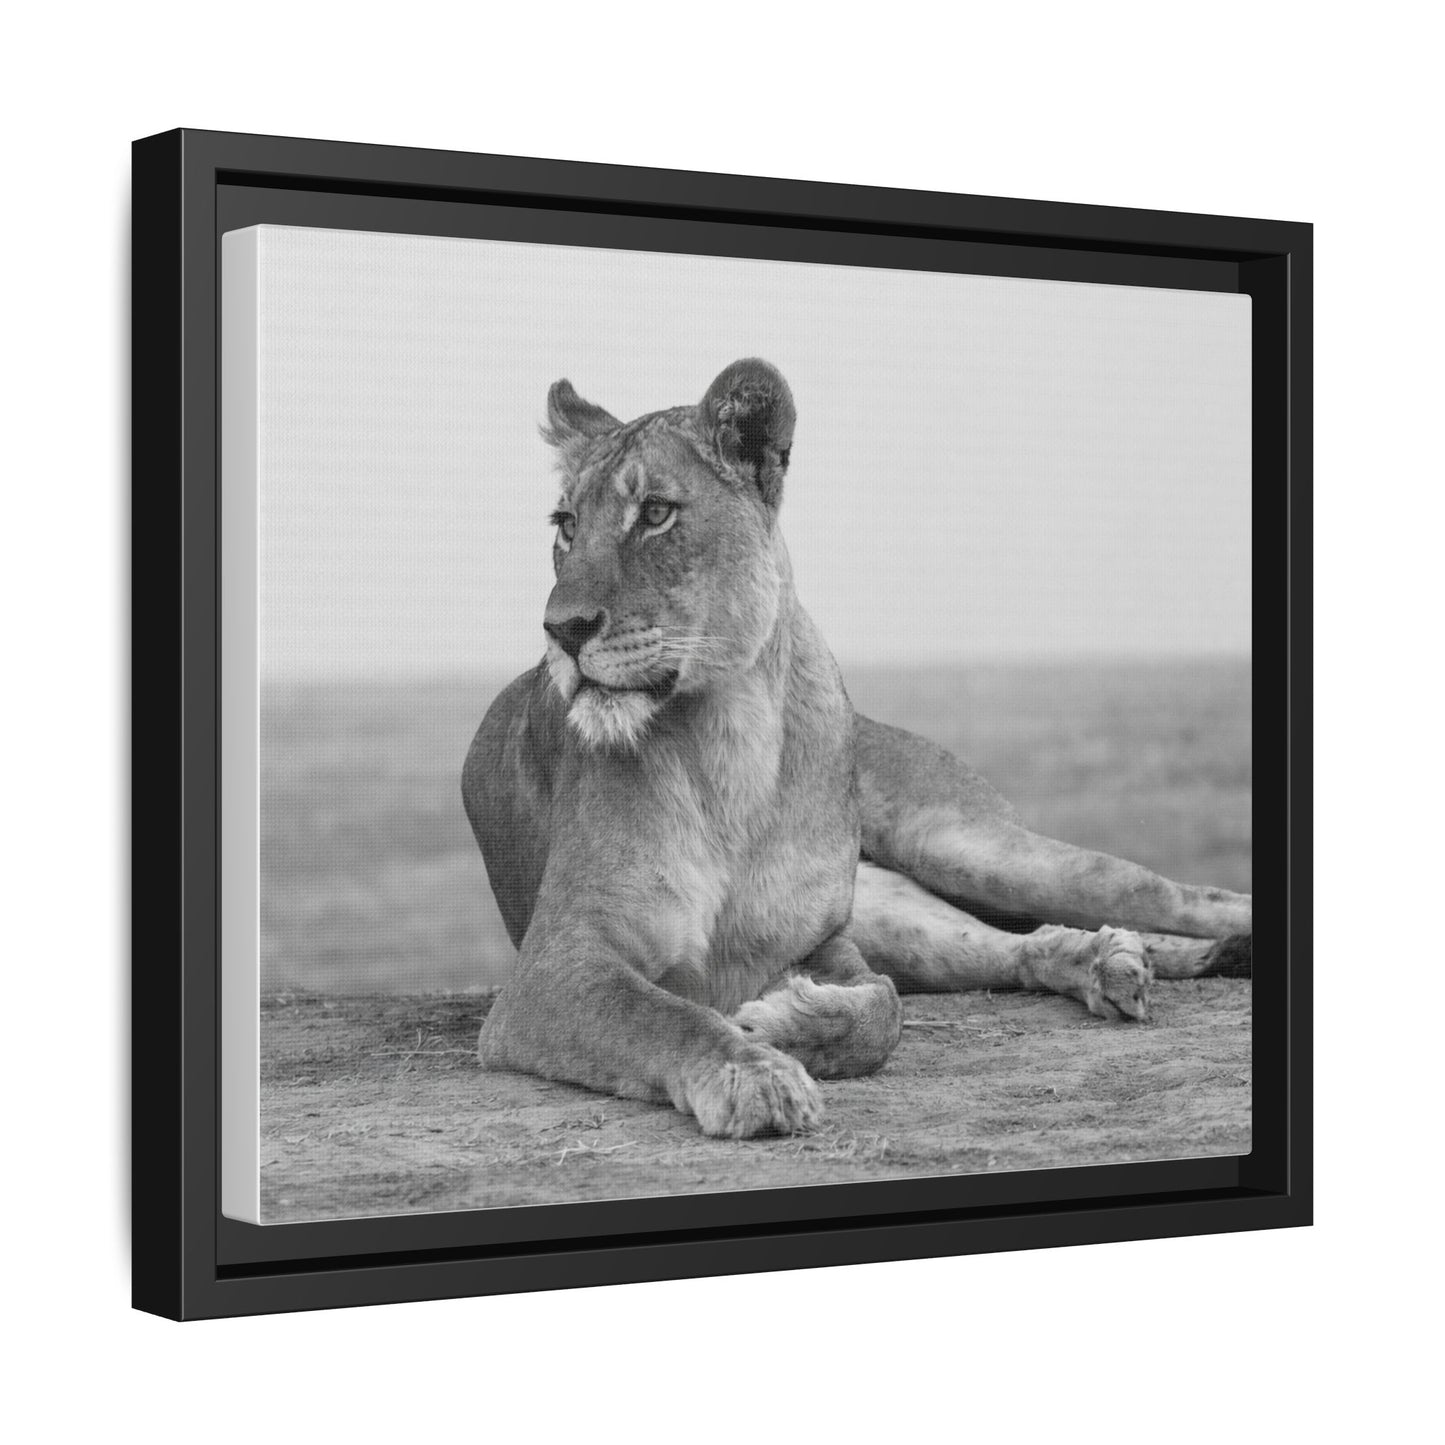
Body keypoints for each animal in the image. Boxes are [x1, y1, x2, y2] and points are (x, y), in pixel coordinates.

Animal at [462, 358, 1251, 1138]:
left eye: (656, 512)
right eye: (566, 525)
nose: (560, 629)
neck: (730, 742)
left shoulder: (821, 942)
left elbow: (883, 1011)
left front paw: (779, 1023)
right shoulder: (555, 966)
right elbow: (666, 1014)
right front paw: (753, 1072)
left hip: (961, 846)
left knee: (1172, 894)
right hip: (899, 908)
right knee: (1012, 946)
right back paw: (1109, 961)